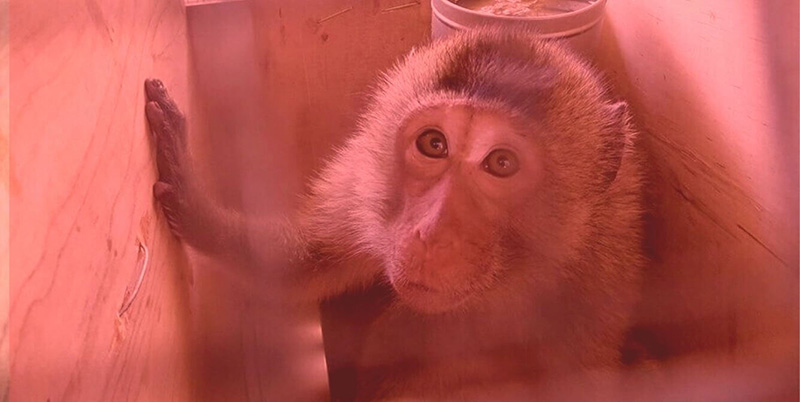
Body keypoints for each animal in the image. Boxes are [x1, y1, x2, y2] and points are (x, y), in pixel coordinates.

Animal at [145, 27, 645, 400]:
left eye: (501, 163)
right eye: (434, 143)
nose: (431, 232)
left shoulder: (598, 273)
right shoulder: (362, 185)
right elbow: (301, 264)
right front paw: (196, 204)